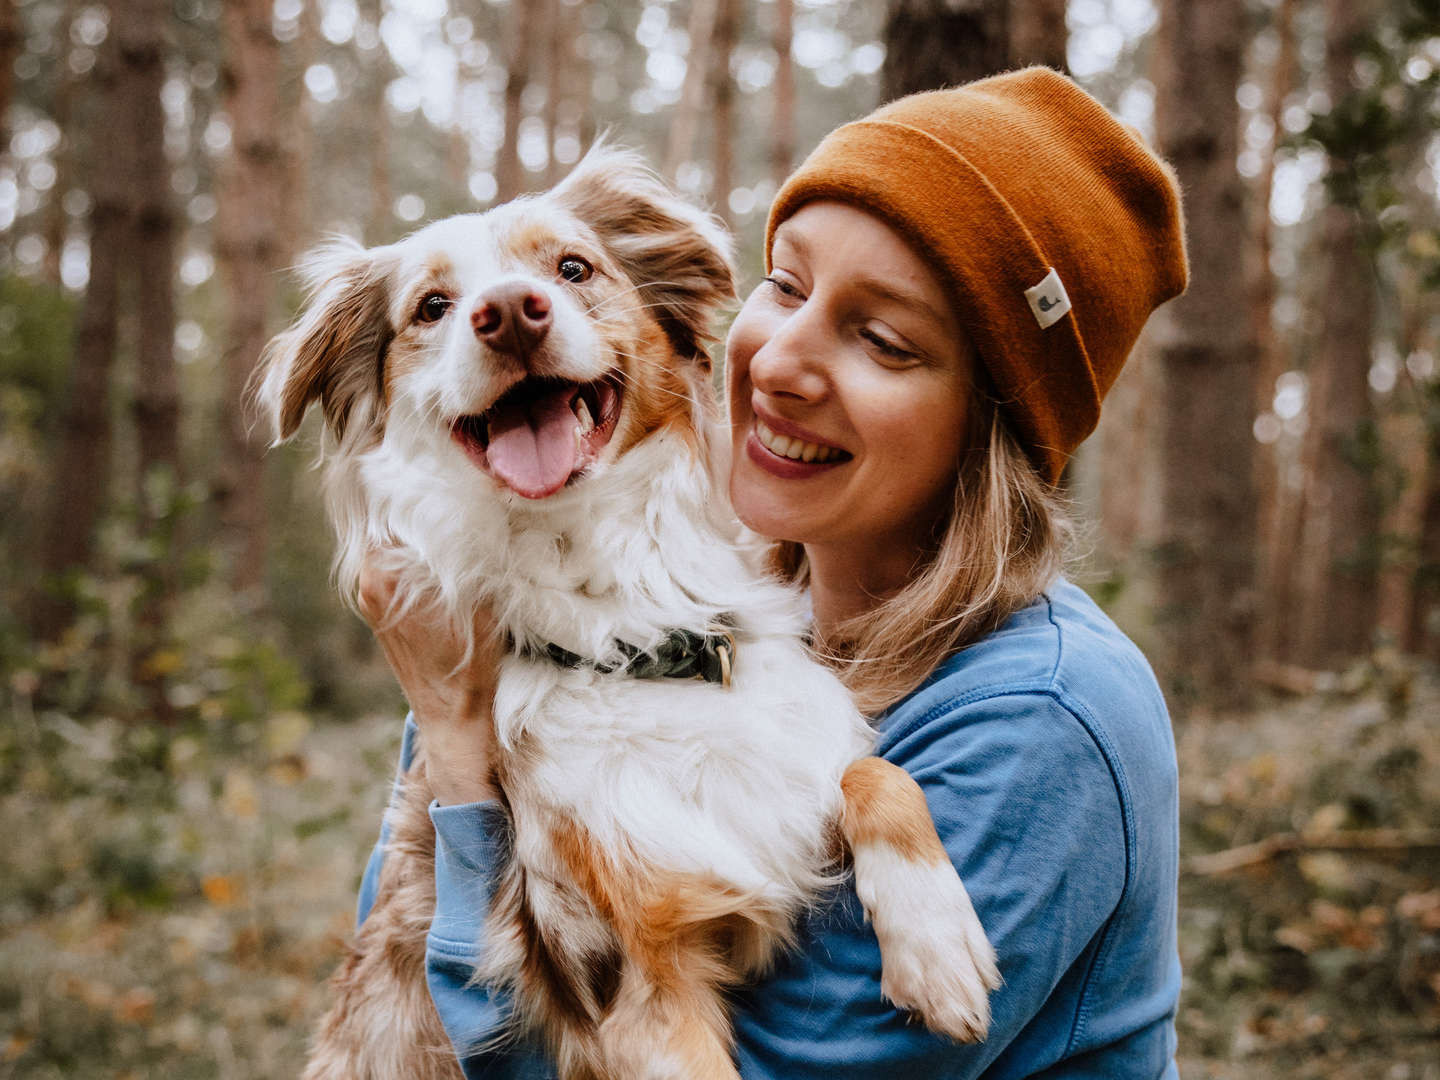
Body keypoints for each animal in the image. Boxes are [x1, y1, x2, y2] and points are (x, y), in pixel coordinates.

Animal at [259, 146, 1002, 1080]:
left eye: (573, 268)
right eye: (432, 307)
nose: (509, 313)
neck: (627, 626)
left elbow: (874, 773)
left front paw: (939, 946)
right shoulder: (632, 980)